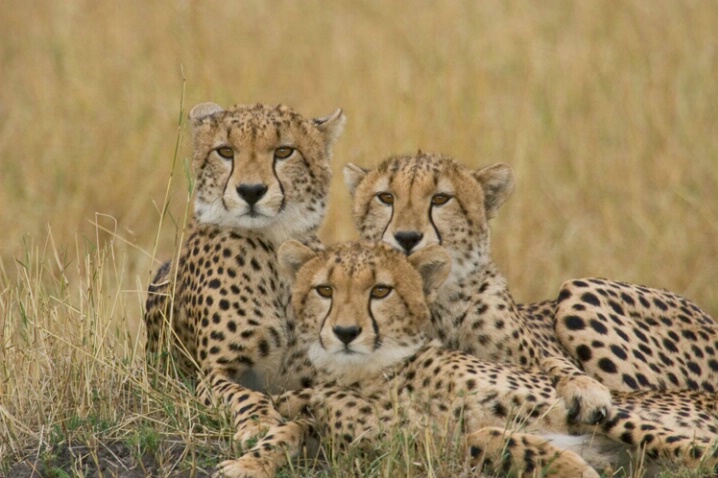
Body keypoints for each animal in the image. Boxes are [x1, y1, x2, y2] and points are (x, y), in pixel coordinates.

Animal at [144, 102, 346, 474]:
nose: (251, 191)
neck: (274, 245)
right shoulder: (212, 372)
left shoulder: (315, 384)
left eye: (284, 151)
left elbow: (305, 421)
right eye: (226, 152)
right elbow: (243, 394)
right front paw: (259, 423)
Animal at [231, 243, 718, 478]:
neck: (377, 376)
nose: (346, 332)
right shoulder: (424, 448)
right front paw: (570, 466)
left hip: (582, 301)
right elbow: (482, 435)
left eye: (381, 290)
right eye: (325, 290)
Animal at [344, 151, 718, 424]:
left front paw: (585, 389)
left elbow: (554, 362)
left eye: (440, 199)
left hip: (578, 291)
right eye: (385, 197)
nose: (407, 237)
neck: (436, 301)